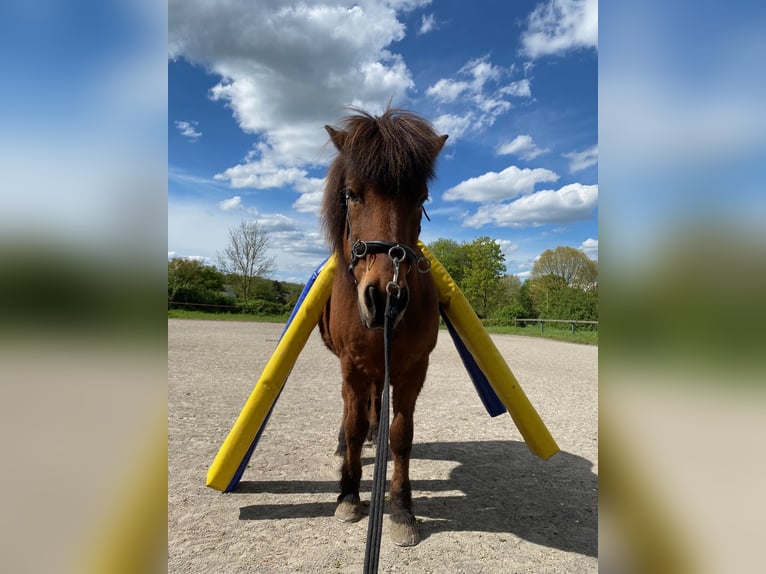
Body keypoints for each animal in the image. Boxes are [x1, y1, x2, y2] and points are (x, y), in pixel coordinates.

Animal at [320, 109, 450, 548]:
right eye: (351, 194)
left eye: (421, 199)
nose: (384, 296)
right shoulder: (352, 366)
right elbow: (354, 424)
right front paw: (348, 495)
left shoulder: (413, 369)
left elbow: (400, 434)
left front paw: (401, 508)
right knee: (351, 413)